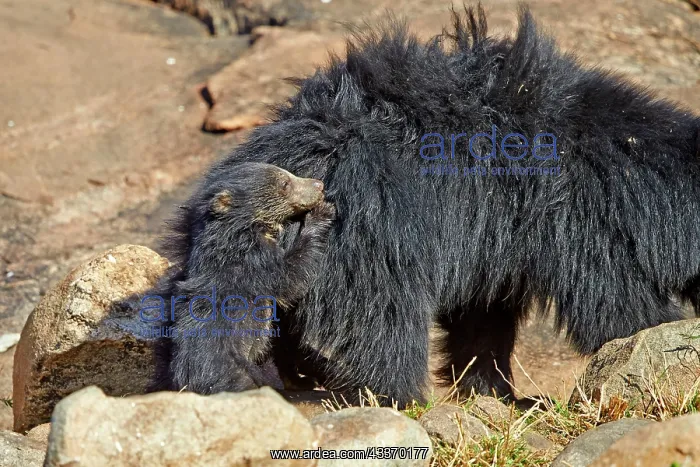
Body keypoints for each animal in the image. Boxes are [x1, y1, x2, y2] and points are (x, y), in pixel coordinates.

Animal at [144, 162, 335, 394]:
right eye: (285, 183)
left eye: (289, 174)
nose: (320, 185)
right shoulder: (250, 263)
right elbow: (288, 279)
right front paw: (323, 213)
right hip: (229, 369)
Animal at [166, 4, 700, 406]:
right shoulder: (581, 219)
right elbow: (612, 305)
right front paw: (662, 333)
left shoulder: (497, 232)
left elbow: (482, 314)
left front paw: (494, 393)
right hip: (372, 235)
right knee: (383, 321)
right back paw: (397, 397)